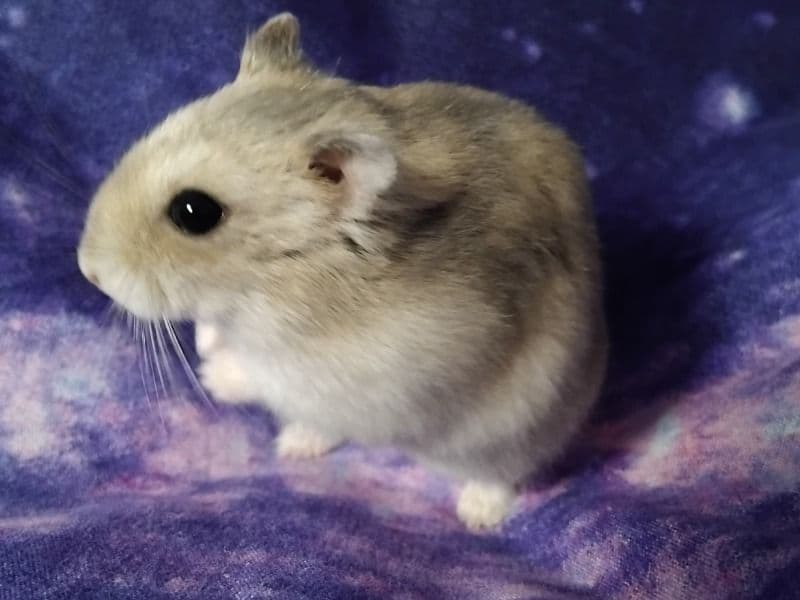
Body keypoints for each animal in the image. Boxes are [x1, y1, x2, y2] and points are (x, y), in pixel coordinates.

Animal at [77, 13, 608, 530]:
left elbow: (264, 376)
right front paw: (208, 343)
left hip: (512, 432)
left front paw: (212, 376)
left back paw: (477, 516)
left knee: (499, 473)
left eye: (194, 212)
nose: (87, 270)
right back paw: (296, 446)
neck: (267, 288)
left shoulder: (367, 379)